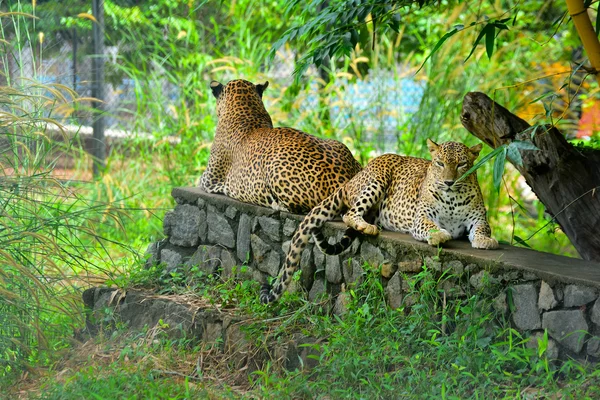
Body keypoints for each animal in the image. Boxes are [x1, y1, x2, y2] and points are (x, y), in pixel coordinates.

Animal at [199, 79, 364, 214]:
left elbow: (200, 179)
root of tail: (343, 180)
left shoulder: (209, 179)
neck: (245, 108)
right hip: (341, 146)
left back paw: (277, 205)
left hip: (274, 165)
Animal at [260, 139, 500, 304]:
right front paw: (439, 235)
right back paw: (367, 227)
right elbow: (429, 226)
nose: (448, 182)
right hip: (377, 179)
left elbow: (482, 229)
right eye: (440, 163)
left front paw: (485, 240)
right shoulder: (421, 217)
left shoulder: (478, 217)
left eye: (462, 164)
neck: (453, 197)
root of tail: (352, 179)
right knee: (349, 214)